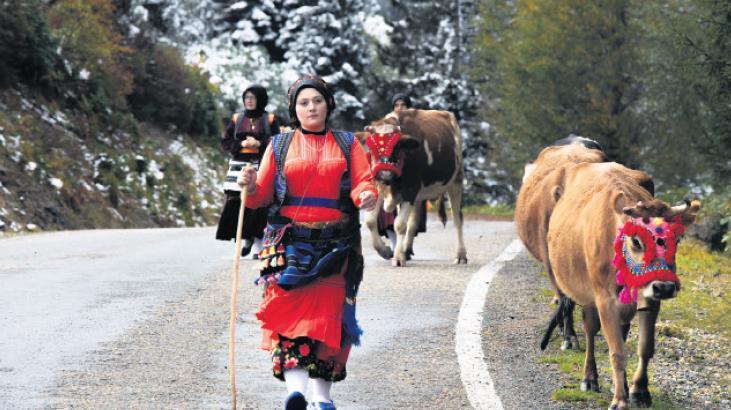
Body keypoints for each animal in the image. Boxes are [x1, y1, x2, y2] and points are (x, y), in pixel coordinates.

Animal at [364, 109, 466, 266]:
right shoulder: (380, 186)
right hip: (418, 196)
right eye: (371, 147)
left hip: (456, 180)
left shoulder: (410, 190)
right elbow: (369, 220)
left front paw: (398, 258)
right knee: (413, 222)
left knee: (457, 219)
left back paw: (461, 255)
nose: (385, 173)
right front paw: (385, 251)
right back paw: (406, 250)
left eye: (397, 146)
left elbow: (399, 224)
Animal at [548, 162, 704, 408]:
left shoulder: (650, 297)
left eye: (676, 239)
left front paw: (639, 391)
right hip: (587, 293)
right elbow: (616, 352)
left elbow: (645, 347)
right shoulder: (604, 300)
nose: (665, 287)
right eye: (636, 241)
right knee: (590, 330)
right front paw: (620, 400)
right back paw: (589, 378)